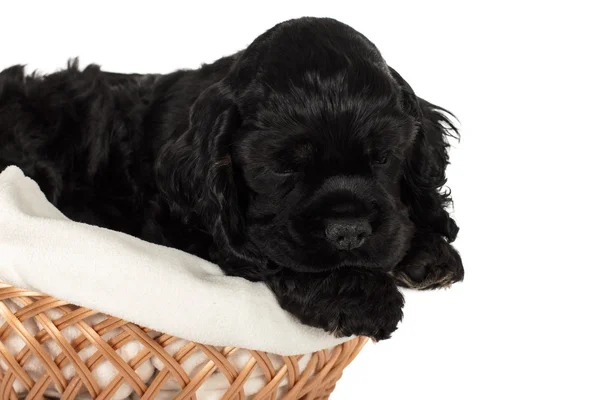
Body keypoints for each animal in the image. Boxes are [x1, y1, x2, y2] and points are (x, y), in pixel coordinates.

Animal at [0, 17, 464, 340]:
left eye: (383, 157)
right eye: (283, 166)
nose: (348, 232)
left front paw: (428, 250)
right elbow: (264, 253)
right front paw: (361, 295)